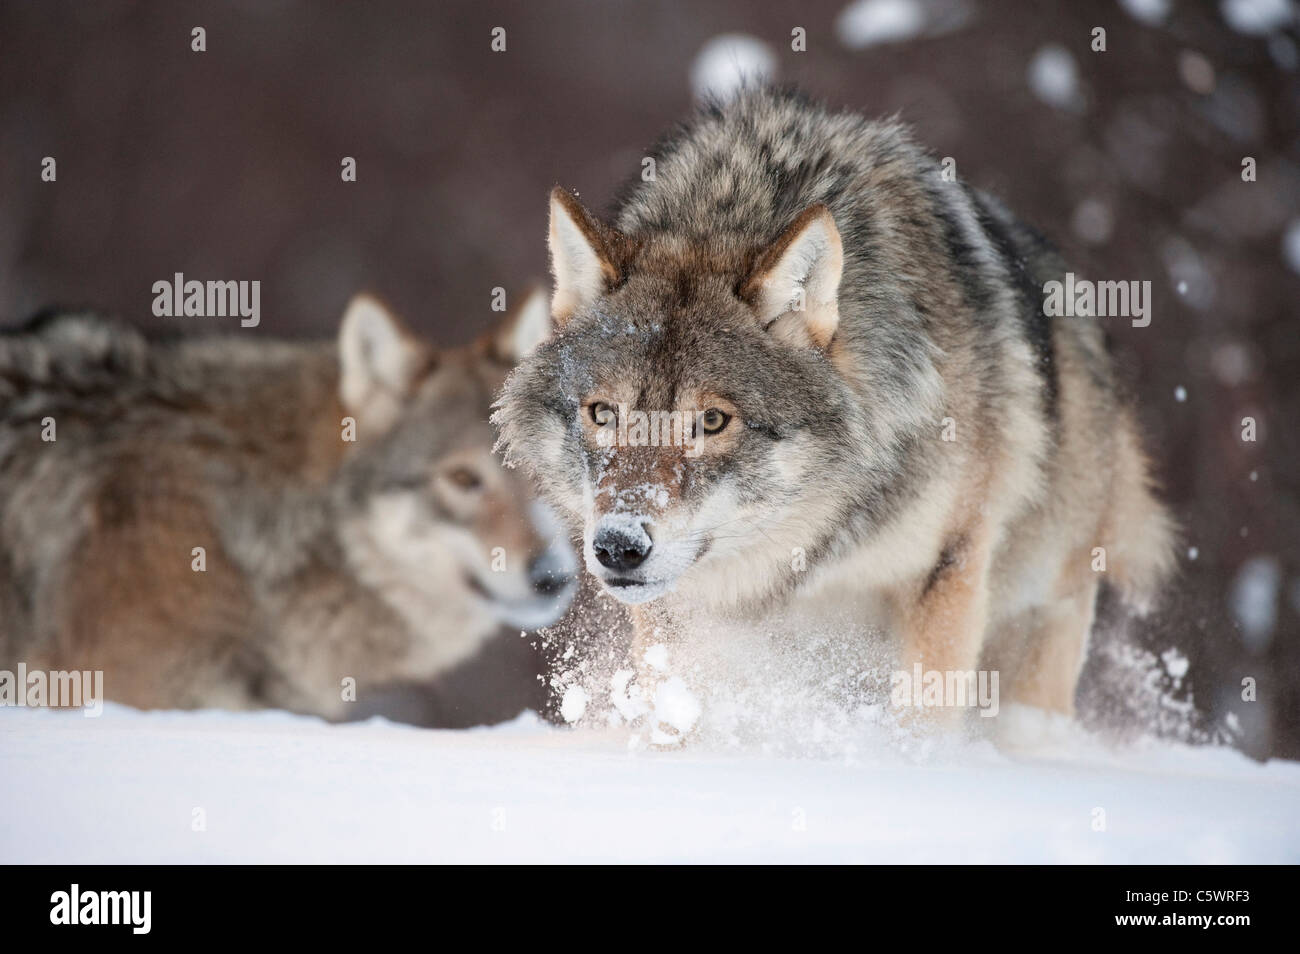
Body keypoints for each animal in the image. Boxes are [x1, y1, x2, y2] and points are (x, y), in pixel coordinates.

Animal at [491, 87, 1175, 733]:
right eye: (602, 413)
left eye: (711, 421)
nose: (618, 546)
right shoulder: (679, 612)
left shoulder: (948, 569)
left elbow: (924, 720)